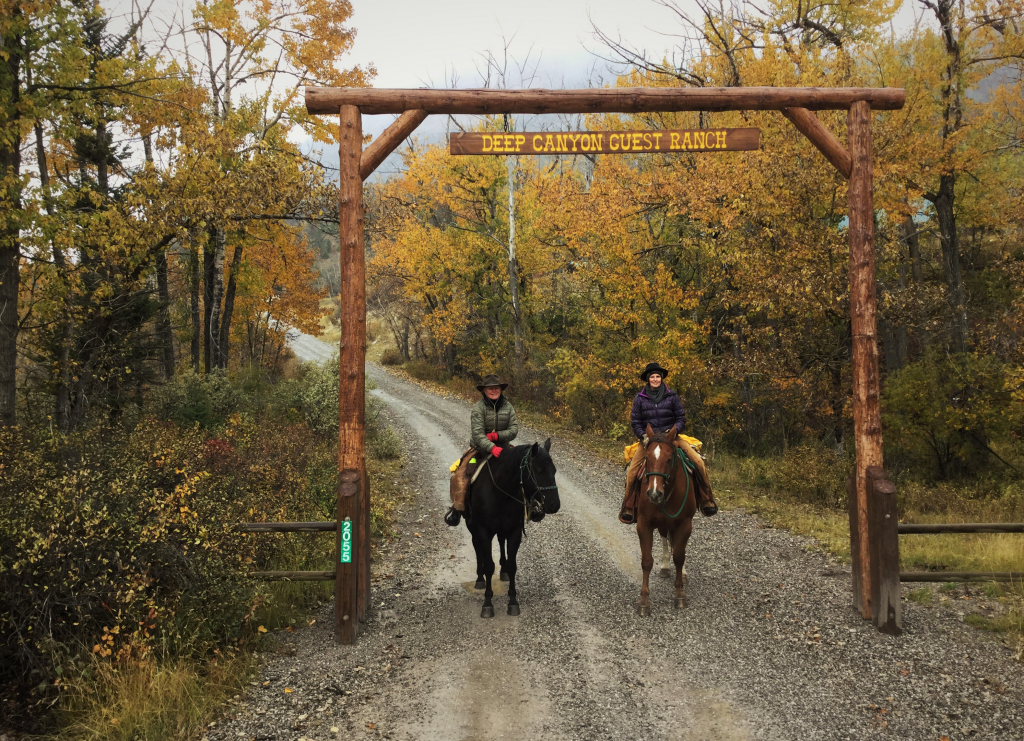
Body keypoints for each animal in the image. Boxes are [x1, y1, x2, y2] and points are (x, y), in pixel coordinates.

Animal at [464, 442, 561, 618]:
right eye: (539, 469)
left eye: (554, 470)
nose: (554, 505)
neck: (500, 490)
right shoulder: (484, 531)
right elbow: (489, 566)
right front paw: (487, 603)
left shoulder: (514, 531)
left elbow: (512, 565)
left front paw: (513, 601)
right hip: (473, 527)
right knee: (477, 547)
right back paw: (480, 579)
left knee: (501, 542)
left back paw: (502, 571)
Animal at [634, 421, 700, 614]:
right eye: (647, 458)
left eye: (669, 459)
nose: (654, 494)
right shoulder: (644, 524)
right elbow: (647, 561)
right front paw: (644, 601)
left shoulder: (685, 524)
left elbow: (679, 556)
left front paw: (679, 595)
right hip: (663, 524)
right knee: (665, 539)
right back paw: (664, 567)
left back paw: (683, 574)